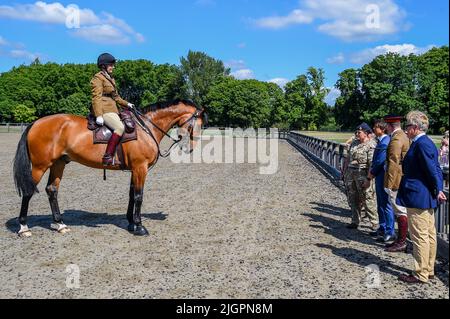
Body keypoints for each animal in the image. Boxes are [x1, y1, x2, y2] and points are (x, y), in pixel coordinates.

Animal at [12, 100, 206, 238]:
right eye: (198, 123)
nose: (191, 147)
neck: (146, 128)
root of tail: (35, 123)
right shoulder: (140, 168)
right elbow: (139, 196)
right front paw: (139, 226)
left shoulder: (135, 170)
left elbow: (131, 195)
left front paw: (131, 223)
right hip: (40, 166)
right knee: (29, 191)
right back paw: (24, 227)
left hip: (58, 164)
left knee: (52, 190)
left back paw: (60, 225)